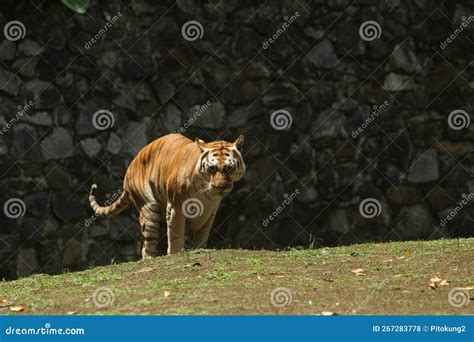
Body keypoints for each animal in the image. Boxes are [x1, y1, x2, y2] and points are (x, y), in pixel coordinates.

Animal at [89, 134, 246, 256]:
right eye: (212, 168)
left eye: (229, 168)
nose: (221, 186)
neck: (206, 191)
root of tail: (131, 164)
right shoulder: (176, 208)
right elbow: (176, 235)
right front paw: (176, 254)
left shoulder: (210, 213)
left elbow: (202, 235)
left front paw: (199, 249)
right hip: (149, 210)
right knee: (146, 248)